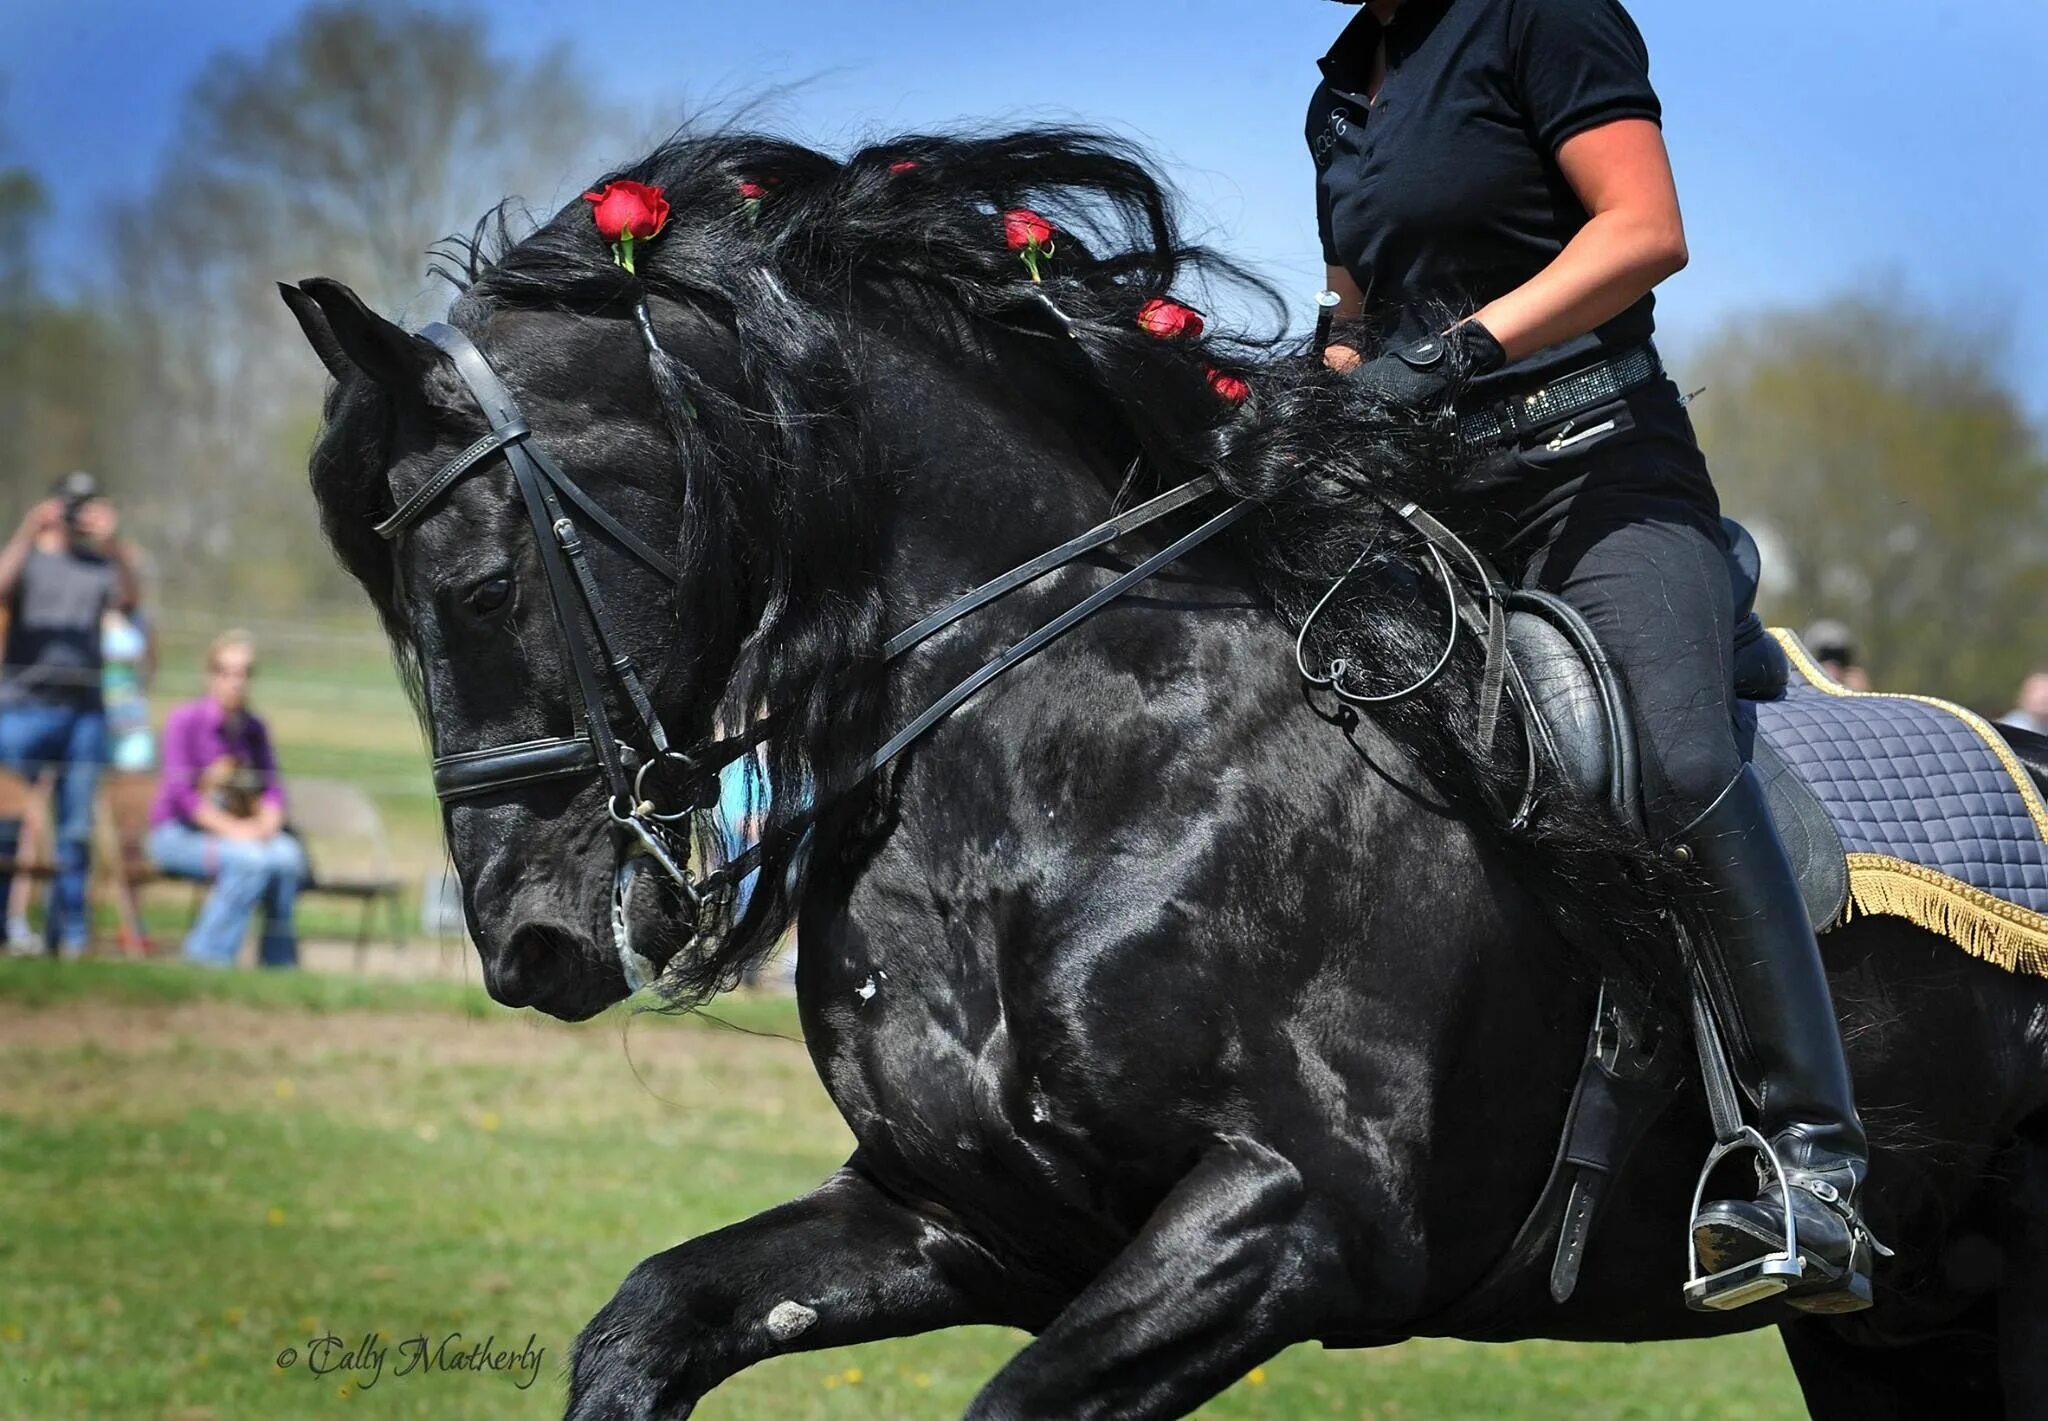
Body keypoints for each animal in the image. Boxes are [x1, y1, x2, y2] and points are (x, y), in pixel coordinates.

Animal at [280, 127, 2048, 1416]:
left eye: (480, 587)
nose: (527, 945)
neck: (1074, 772)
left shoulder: (1292, 1218)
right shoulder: (966, 1215)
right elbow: (643, 1323)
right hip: (1899, 1330)